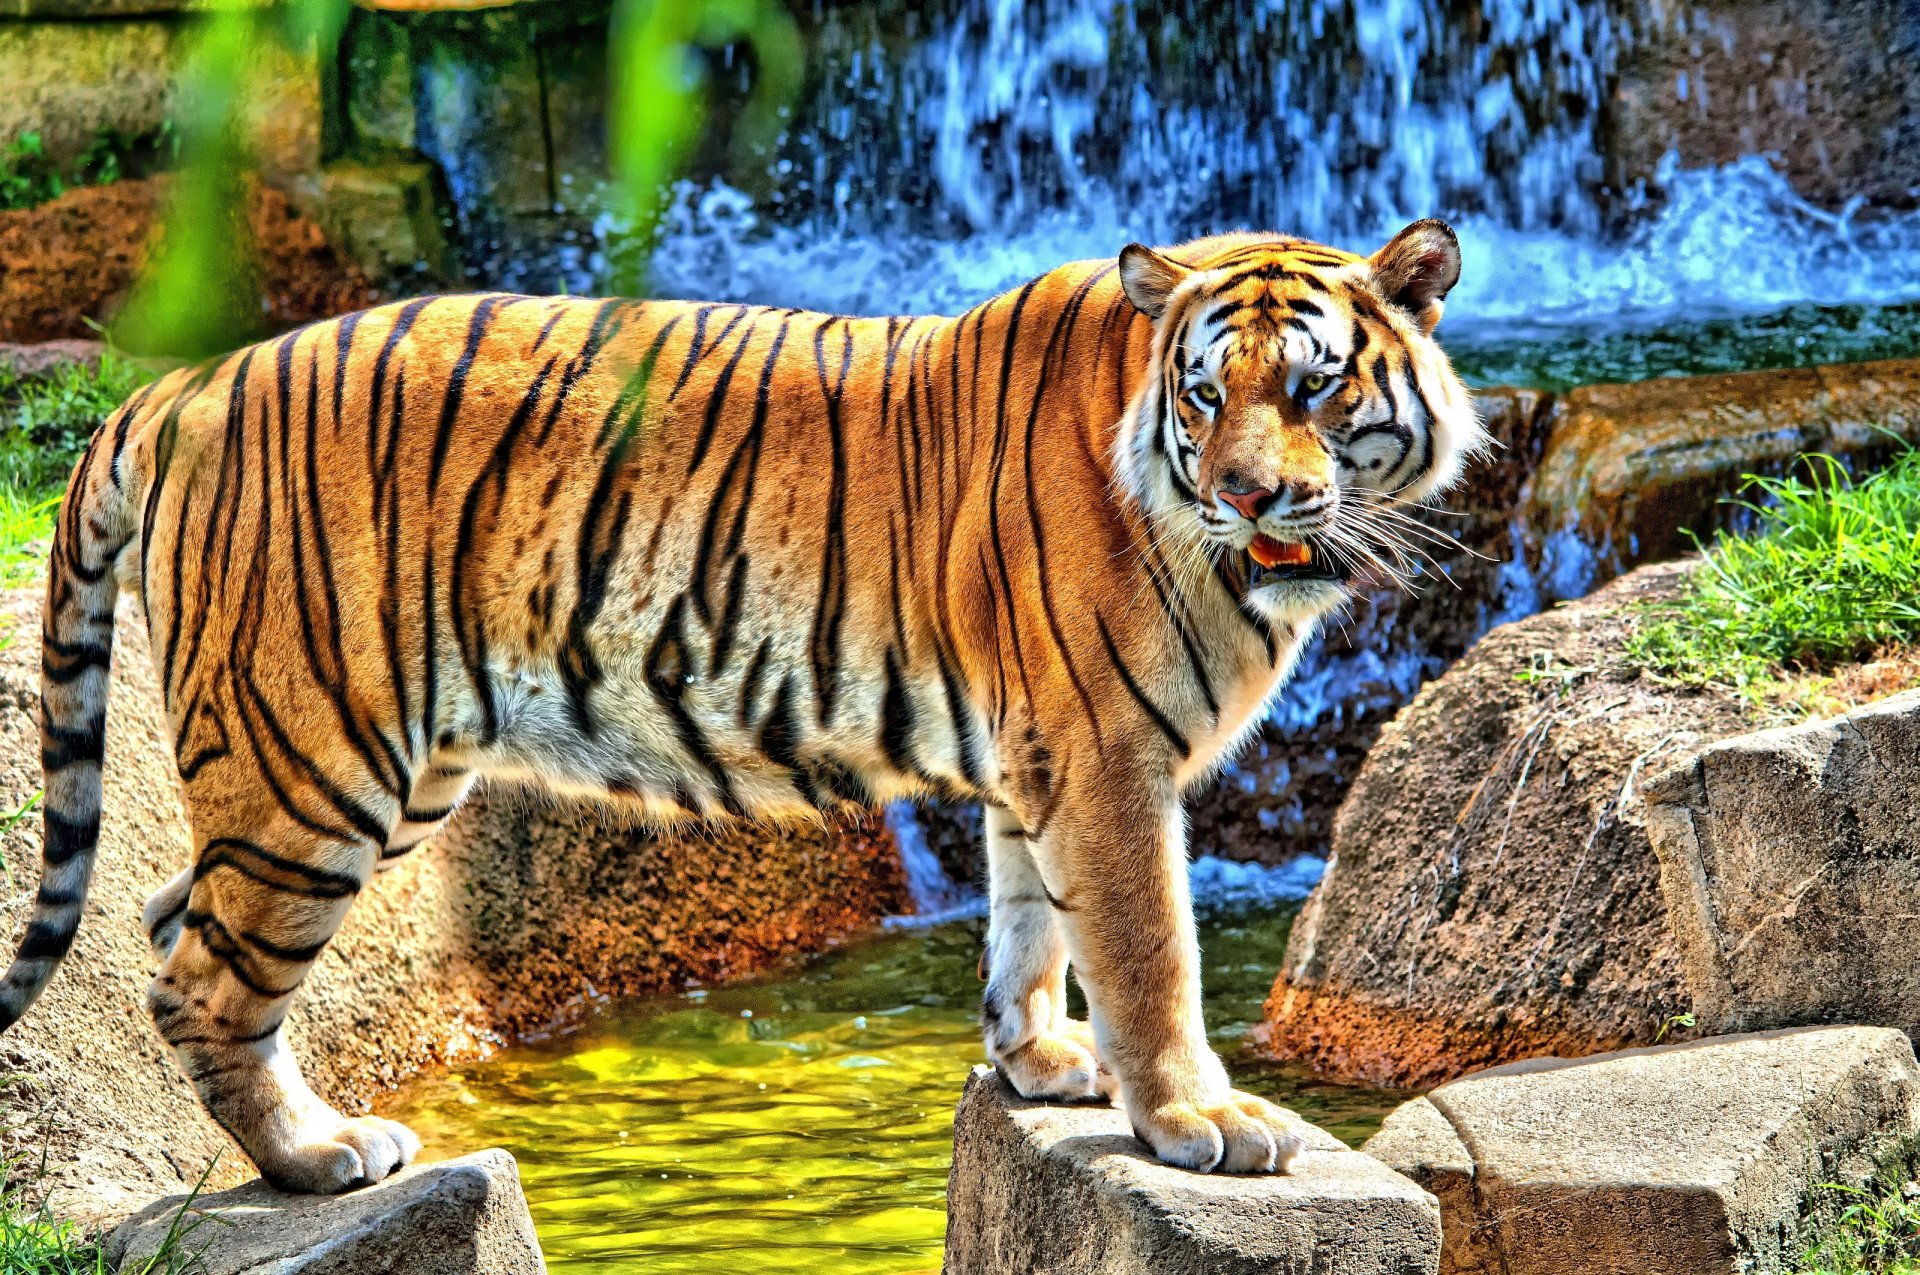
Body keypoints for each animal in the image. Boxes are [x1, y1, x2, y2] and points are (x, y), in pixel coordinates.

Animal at [0, 221, 1482, 1198]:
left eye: (1314, 387)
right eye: (1205, 392)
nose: (1245, 493)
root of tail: (183, 382)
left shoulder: (1041, 753)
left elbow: (1027, 921)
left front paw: (1042, 1060)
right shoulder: (1104, 755)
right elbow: (1147, 947)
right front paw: (1196, 1119)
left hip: (358, 771)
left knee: (167, 918)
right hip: (317, 758)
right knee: (202, 978)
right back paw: (321, 1154)